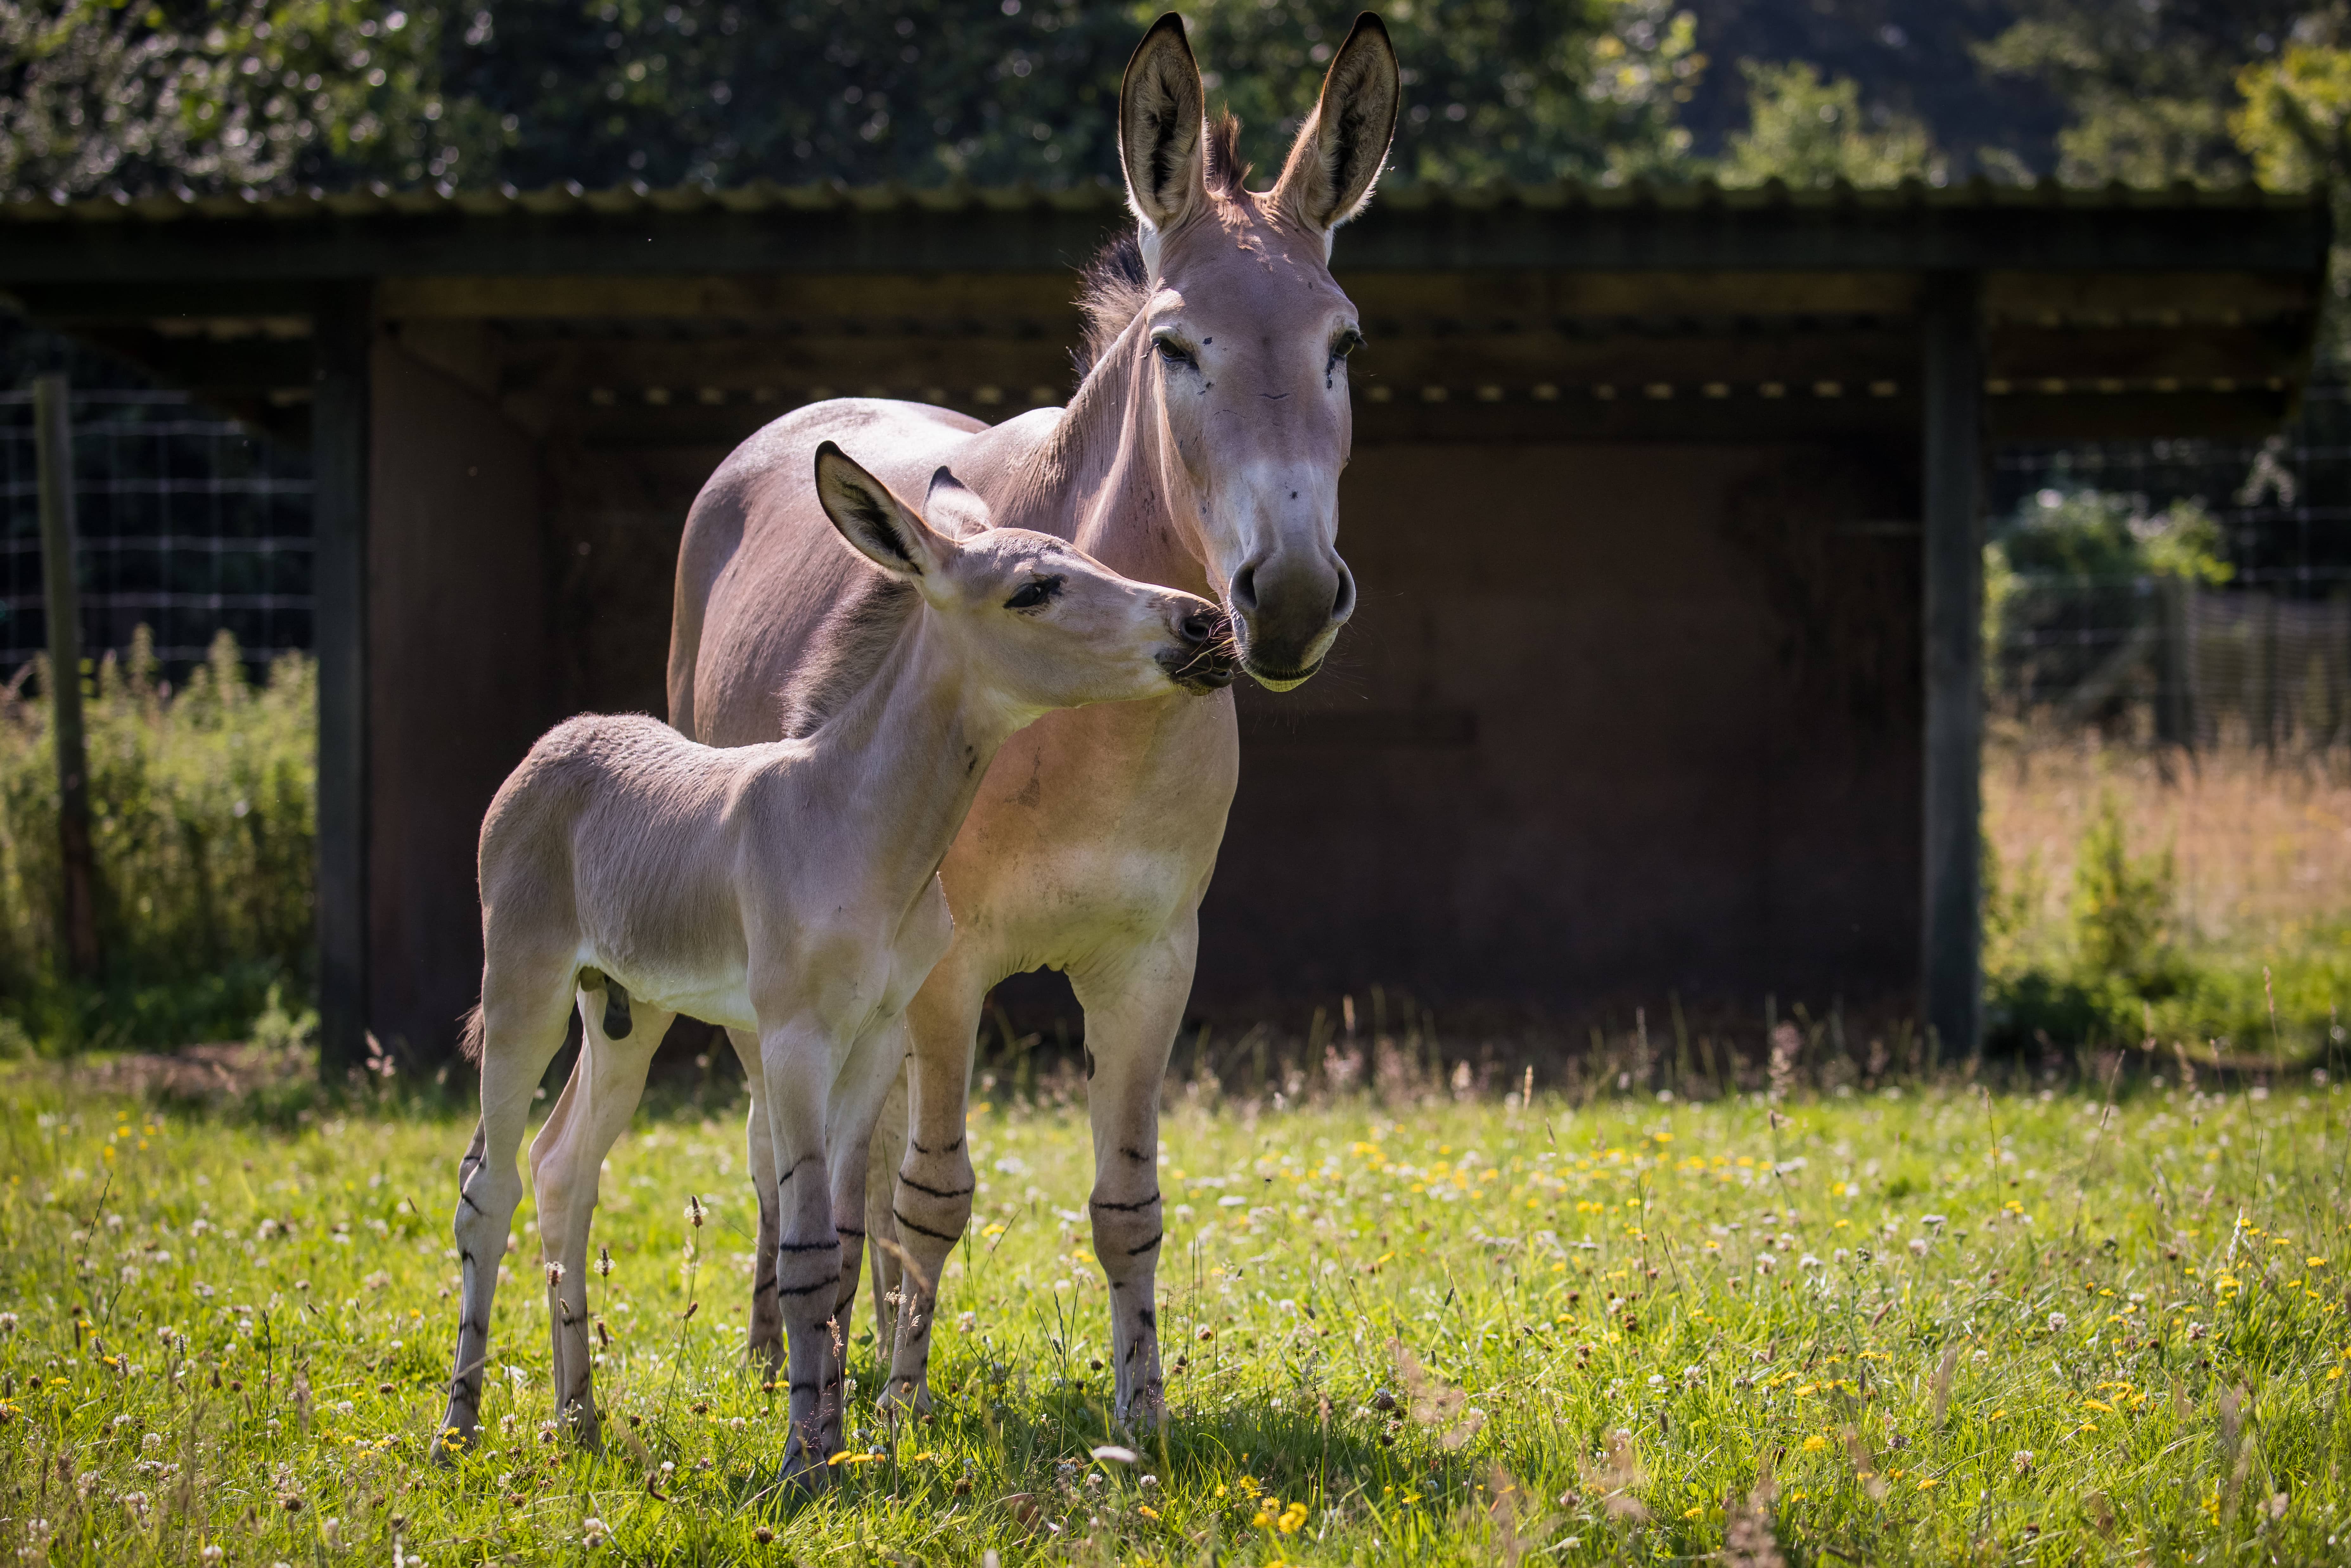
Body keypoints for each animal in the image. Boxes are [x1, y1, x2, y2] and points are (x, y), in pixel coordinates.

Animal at [432, 444, 1232, 1486]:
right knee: (487, 1188)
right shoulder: (796, 1042)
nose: (1206, 625)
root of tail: (560, 741)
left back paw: (579, 1420)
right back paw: (458, 1429)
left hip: (626, 1011)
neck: (857, 823)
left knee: (563, 1167)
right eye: (1034, 591)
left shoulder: (876, 1037)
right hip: (522, 991)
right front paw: (803, 1465)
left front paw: (837, 1438)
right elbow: (807, 1244)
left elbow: (849, 1242)